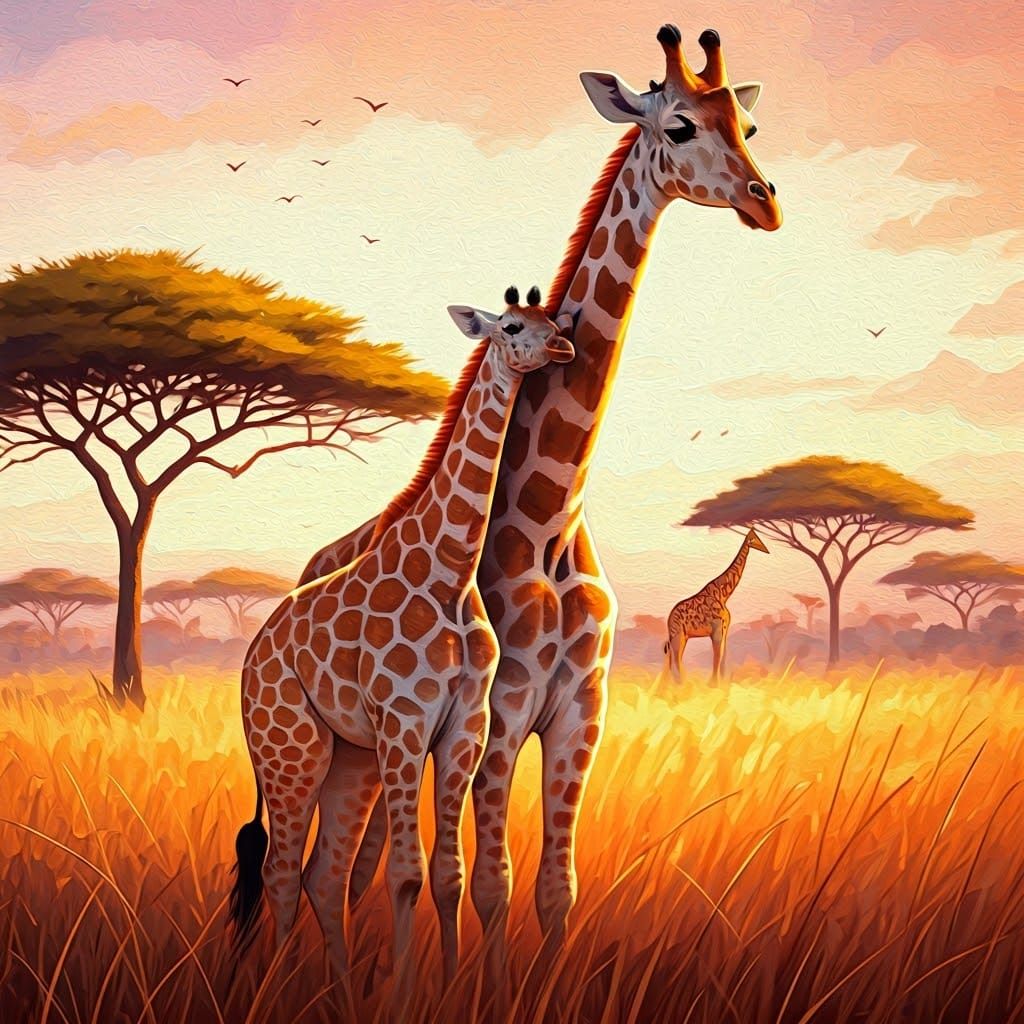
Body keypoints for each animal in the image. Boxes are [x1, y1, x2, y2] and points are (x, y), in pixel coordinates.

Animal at [228, 287, 575, 993]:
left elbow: (450, 874)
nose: (561, 347)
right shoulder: (407, 722)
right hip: (290, 750)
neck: (451, 570)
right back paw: (276, 993)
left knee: (322, 874)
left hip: (348, 757)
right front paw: (405, 995)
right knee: (281, 872)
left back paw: (337, 993)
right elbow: (407, 874)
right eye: (513, 326)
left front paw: (451, 990)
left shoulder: (465, 724)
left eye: (553, 321)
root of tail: (252, 655)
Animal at [664, 528, 769, 683]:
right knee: (676, 660)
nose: (767, 550)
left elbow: (723, 657)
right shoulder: (717, 630)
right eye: (755, 538)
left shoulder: (725, 629)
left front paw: (722, 683)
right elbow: (717, 657)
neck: (723, 594)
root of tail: (669, 618)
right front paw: (713, 684)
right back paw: (681, 684)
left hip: (683, 637)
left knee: (673, 660)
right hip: (678, 635)